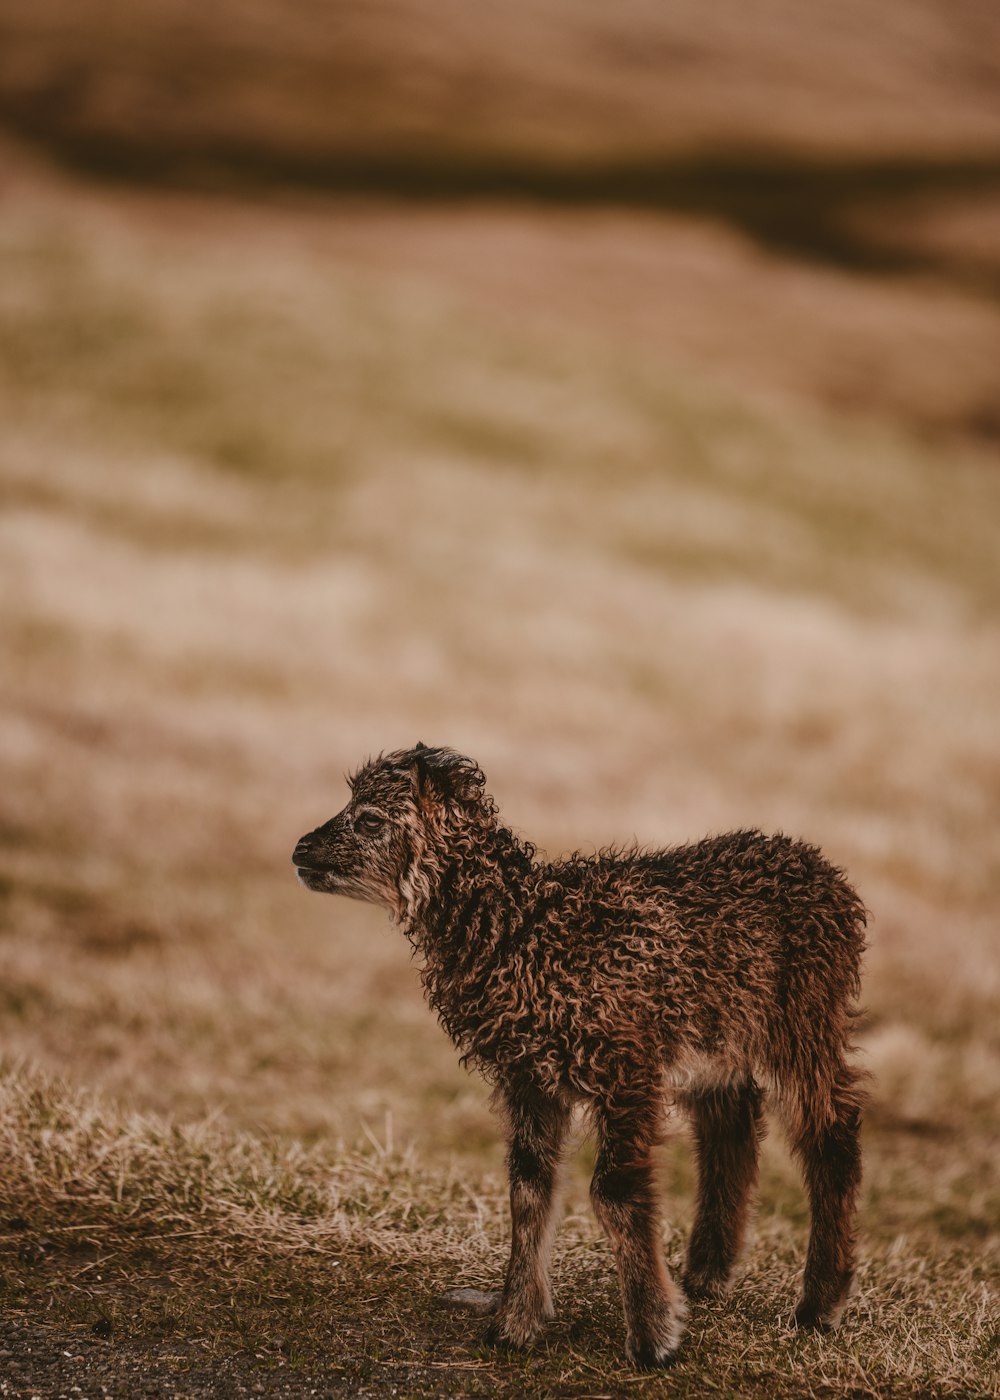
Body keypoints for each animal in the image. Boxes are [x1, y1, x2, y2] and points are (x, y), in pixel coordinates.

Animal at [289, 744, 862, 1366]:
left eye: (371, 820)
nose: (301, 850)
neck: (525, 932)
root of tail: (819, 868)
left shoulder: (626, 1065)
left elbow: (613, 1192)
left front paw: (653, 1337)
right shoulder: (528, 1075)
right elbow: (529, 1187)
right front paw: (515, 1323)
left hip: (803, 1021)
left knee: (830, 1129)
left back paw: (819, 1305)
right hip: (717, 1039)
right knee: (730, 1123)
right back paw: (707, 1276)